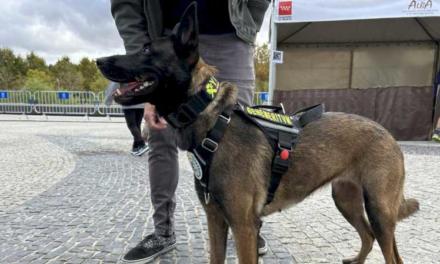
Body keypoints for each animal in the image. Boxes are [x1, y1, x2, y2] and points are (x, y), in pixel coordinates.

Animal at [97, 3, 420, 262]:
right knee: (368, 237)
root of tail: (388, 134)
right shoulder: (216, 219)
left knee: (390, 253)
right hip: (347, 200)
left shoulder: (243, 226)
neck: (213, 123)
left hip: (379, 210)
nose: (99, 61)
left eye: (146, 50)